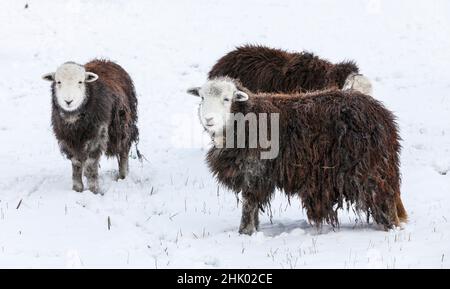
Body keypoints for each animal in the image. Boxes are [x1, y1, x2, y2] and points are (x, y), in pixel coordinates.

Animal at [43, 58, 141, 194]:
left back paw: (123, 175)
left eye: (80, 81)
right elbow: (76, 163)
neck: (74, 120)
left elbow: (91, 164)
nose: (68, 101)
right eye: (58, 82)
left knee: (124, 150)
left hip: (123, 126)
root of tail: (105, 60)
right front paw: (77, 188)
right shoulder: (67, 138)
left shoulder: (98, 135)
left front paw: (94, 190)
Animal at [188, 76, 406, 234]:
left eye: (227, 99)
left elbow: (249, 202)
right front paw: (253, 229)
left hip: (370, 168)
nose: (209, 119)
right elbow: (252, 204)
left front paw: (245, 232)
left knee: (384, 197)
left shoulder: (255, 170)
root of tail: (384, 116)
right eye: (202, 98)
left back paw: (391, 227)